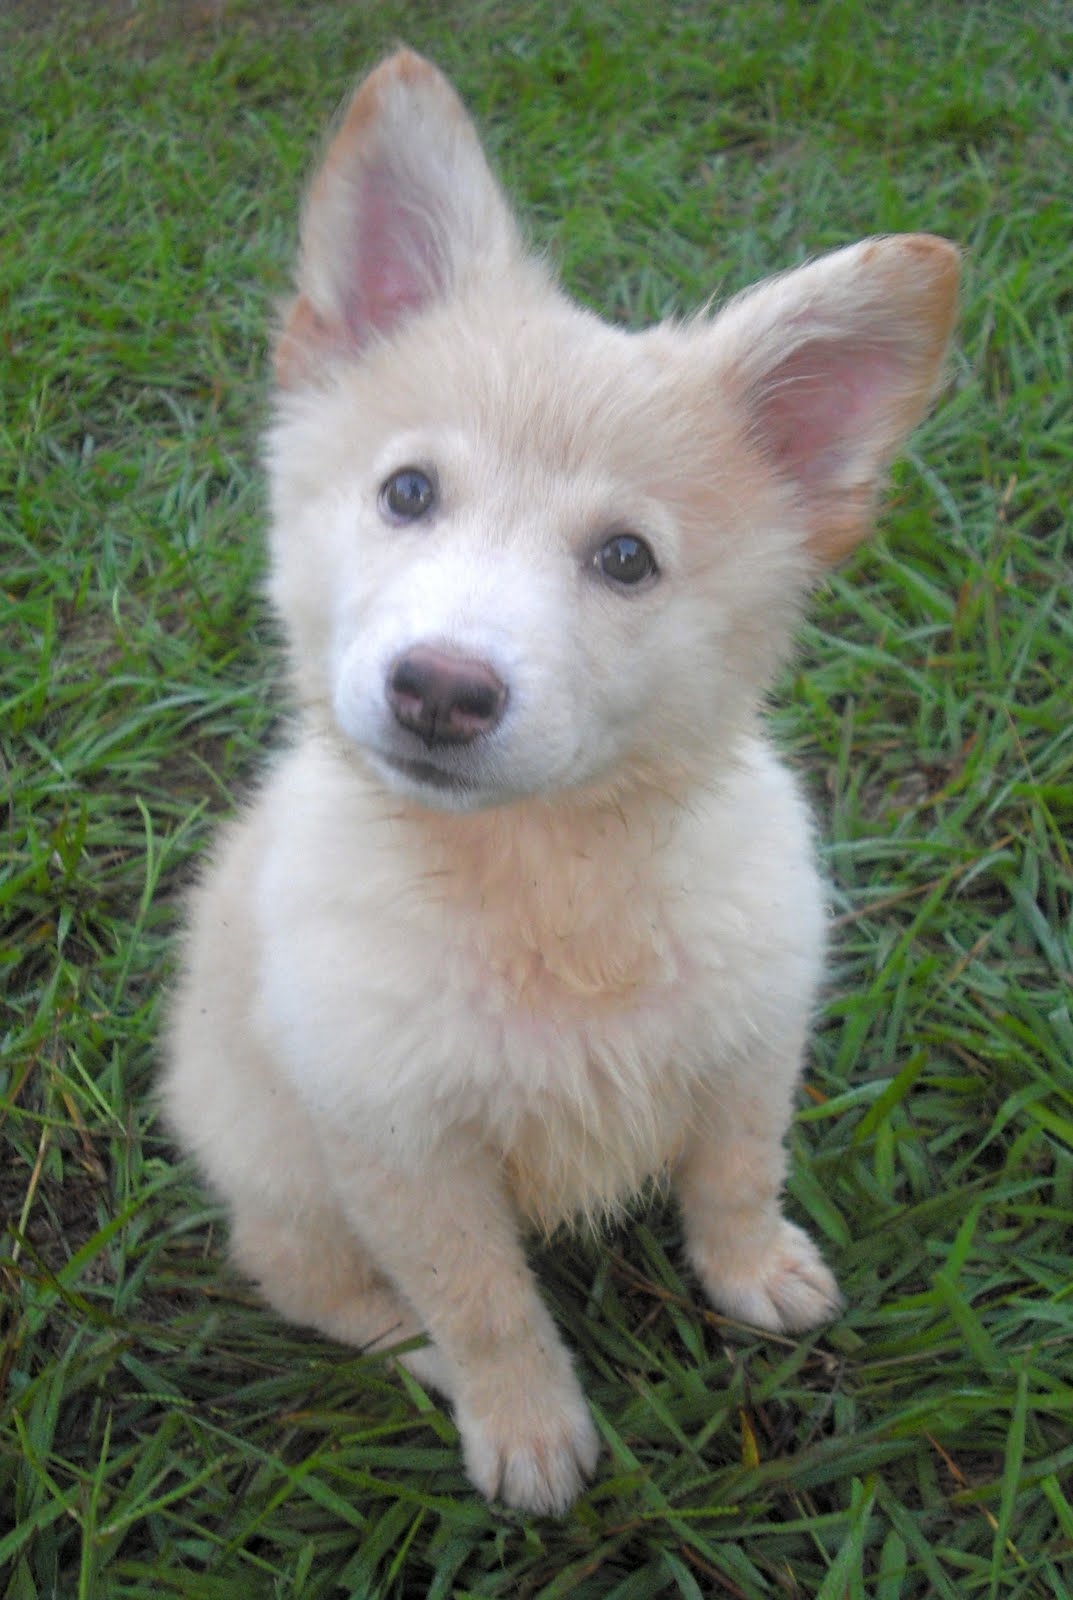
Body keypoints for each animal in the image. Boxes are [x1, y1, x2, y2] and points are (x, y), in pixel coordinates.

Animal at [163, 50, 959, 1516]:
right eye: (407, 492)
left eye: (626, 561)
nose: (438, 688)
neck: (547, 876)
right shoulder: (398, 1144)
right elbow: (482, 1300)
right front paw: (526, 1428)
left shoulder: (751, 1032)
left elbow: (734, 1171)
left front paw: (754, 1273)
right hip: (276, 1160)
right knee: (308, 1279)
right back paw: (409, 1355)